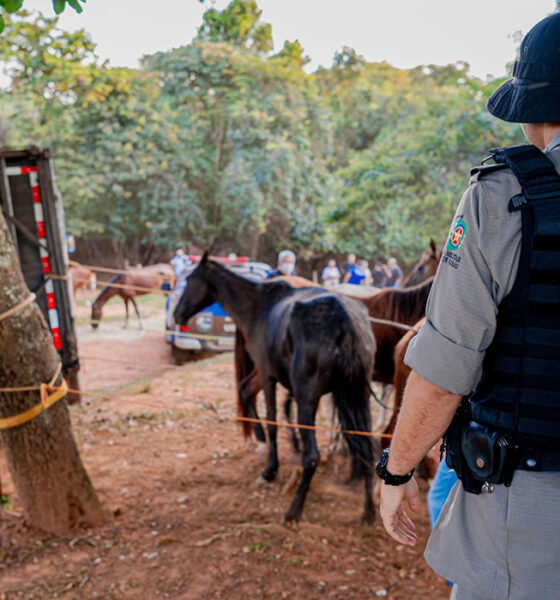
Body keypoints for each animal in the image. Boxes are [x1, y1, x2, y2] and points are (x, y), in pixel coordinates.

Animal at [175, 253, 376, 524]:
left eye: (190, 279)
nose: (177, 314)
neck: (259, 306)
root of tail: (344, 318)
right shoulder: (266, 373)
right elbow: (246, 390)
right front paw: (260, 436)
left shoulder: (268, 375)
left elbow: (272, 420)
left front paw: (270, 468)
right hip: (357, 395)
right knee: (368, 450)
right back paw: (369, 511)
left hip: (308, 400)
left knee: (312, 457)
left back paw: (294, 510)